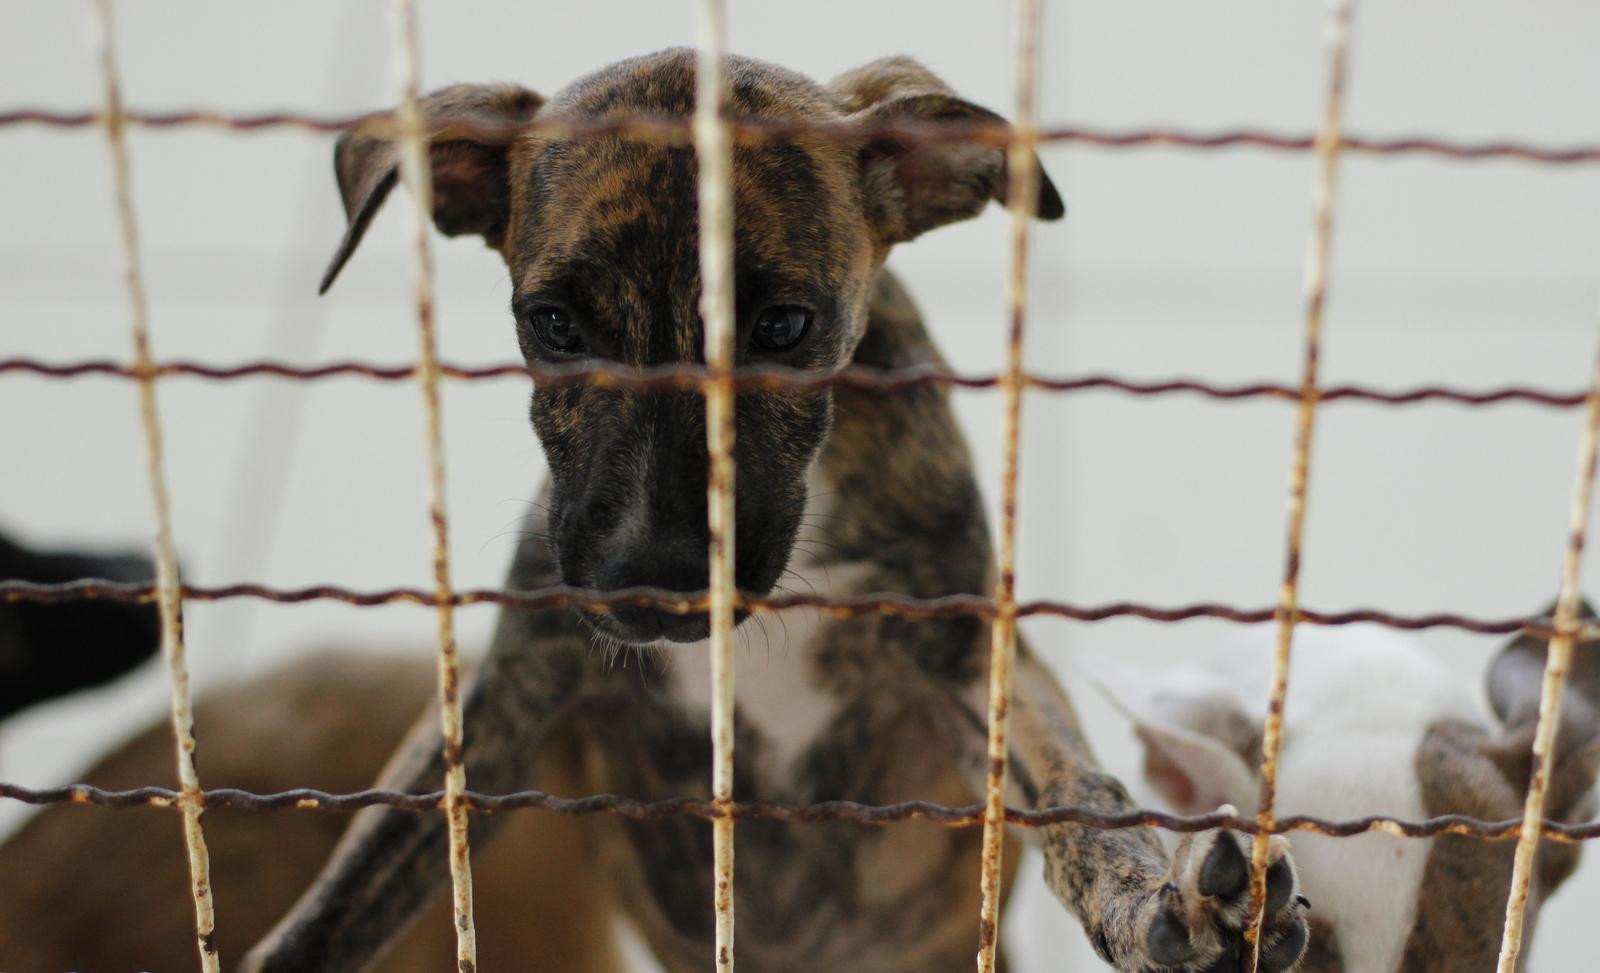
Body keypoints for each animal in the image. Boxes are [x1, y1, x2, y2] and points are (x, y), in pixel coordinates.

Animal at [243, 49, 1305, 966]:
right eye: (552, 324)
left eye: (786, 327)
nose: (648, 588)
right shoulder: (516, 684)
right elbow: (357, 878)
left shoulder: (964, 648)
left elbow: (1075, 785)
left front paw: (1151, 899)